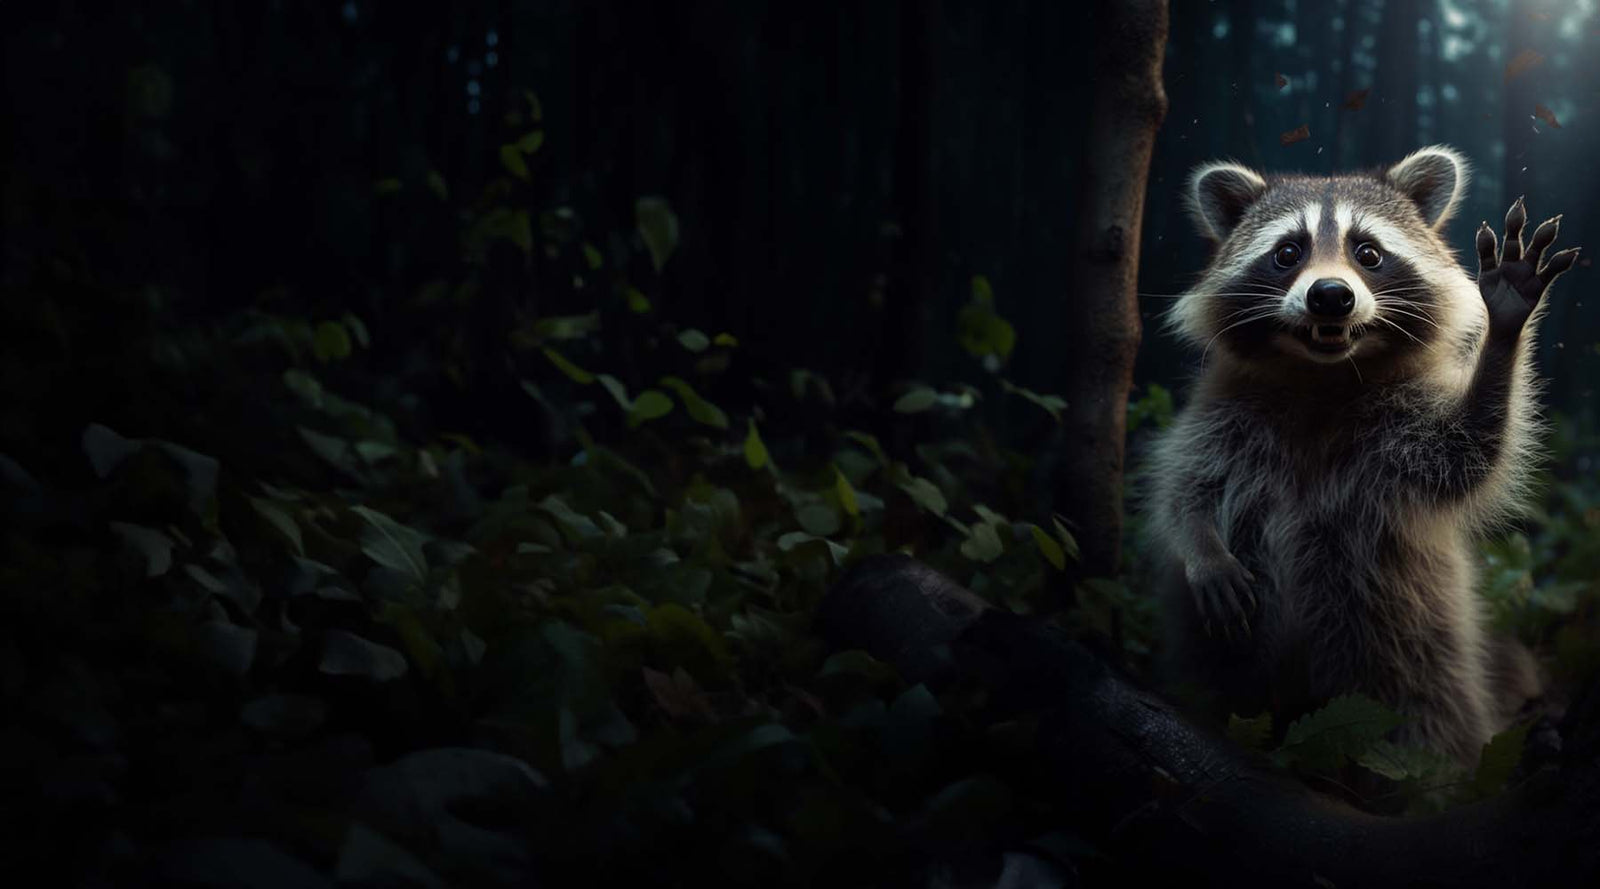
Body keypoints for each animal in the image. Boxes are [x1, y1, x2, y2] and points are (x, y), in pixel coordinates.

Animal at [1144, 145, 1579, 765]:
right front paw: (1201, 548)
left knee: (1423, 722)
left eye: (1368, 252)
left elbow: (1472, 450)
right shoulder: (1221, 415)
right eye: (1288, 252)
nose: (1330, 295)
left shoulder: (1403, 435)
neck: (1322, 378)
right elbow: (1184, 487)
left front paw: (1505, 331)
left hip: (1408, 647)